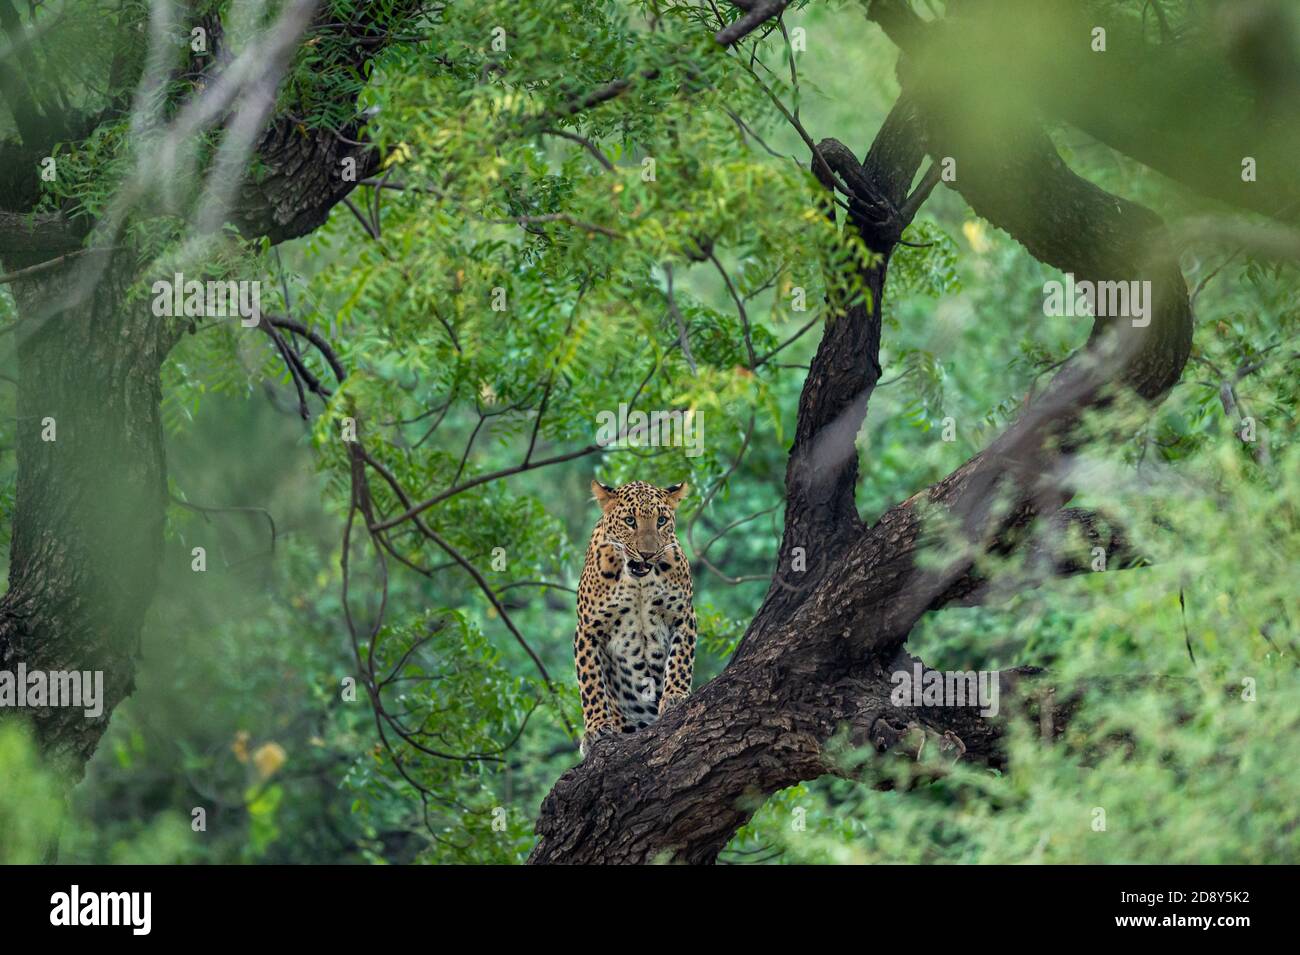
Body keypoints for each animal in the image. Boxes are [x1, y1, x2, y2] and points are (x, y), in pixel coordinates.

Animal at [574, 480, 696, 758]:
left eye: (661, 520)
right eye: (630, 521)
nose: (647, 554)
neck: (638, 581)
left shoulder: (683, 616)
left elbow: (680, 659)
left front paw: (675, 695)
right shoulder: (587, 629)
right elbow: (591, 681)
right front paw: (596, 729)